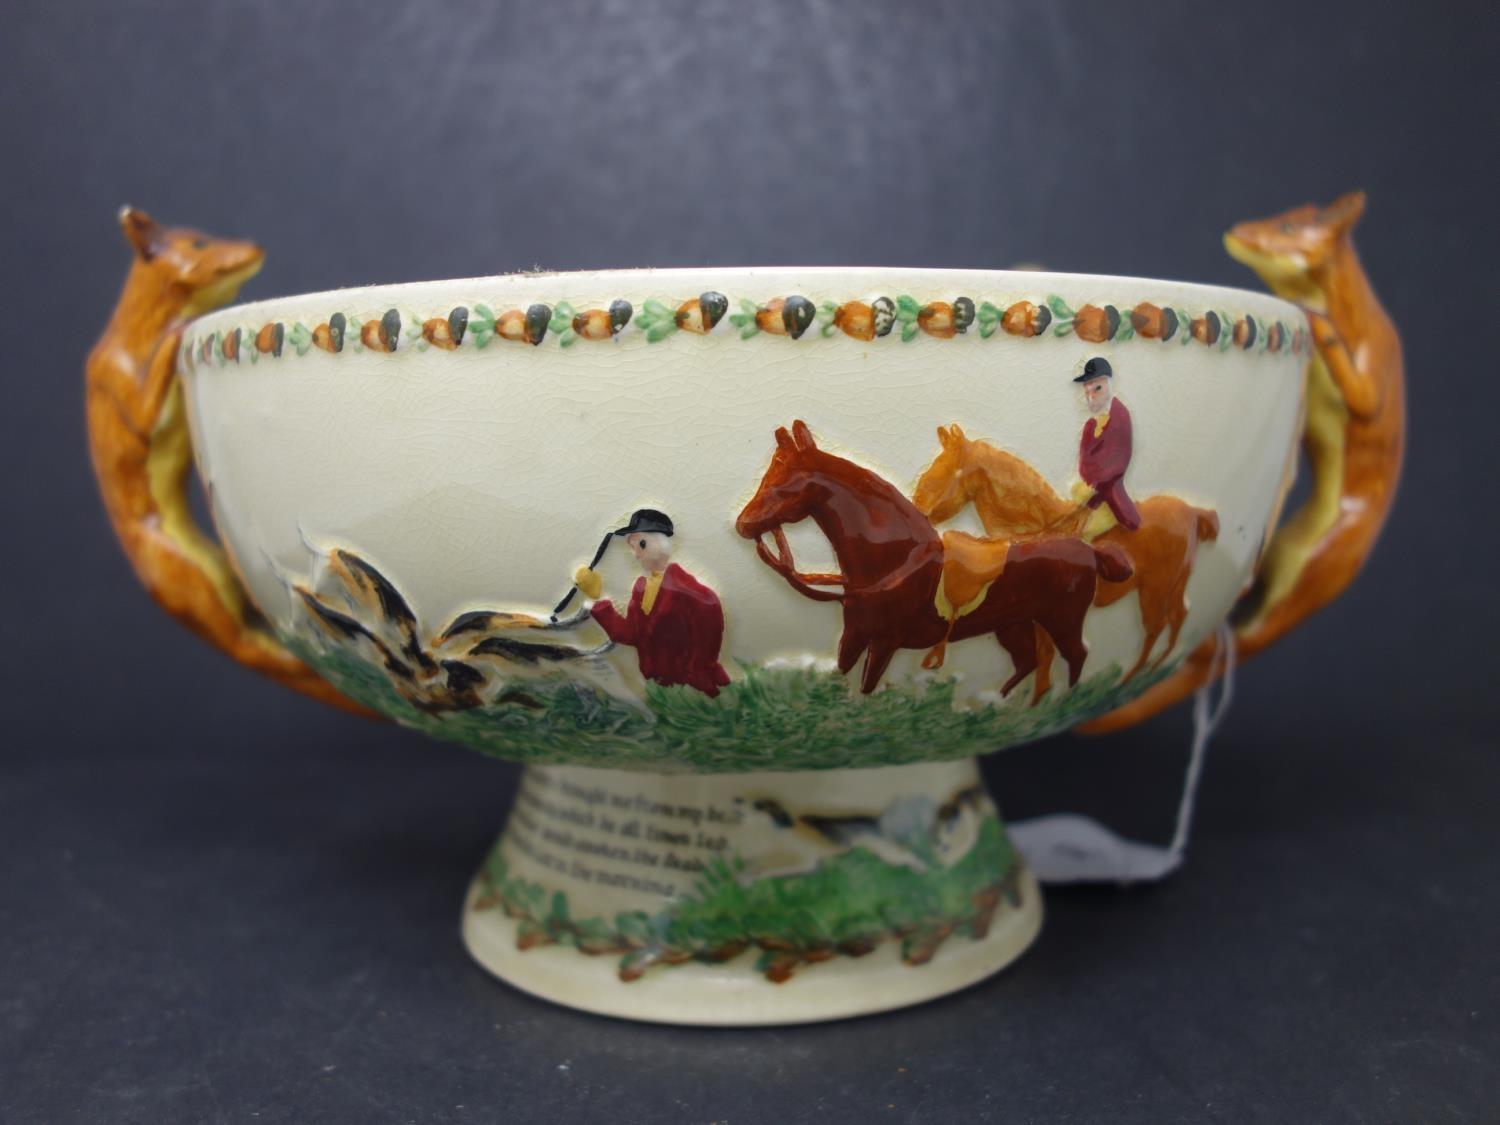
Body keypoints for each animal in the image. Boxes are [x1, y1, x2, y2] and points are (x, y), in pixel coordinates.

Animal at [732, 423, 1128, 702]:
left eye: (782, 485)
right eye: (766, 478)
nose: (743, 525)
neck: (894, 560)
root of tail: (1089, 552)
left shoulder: (885, 642)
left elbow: (866, 687)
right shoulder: (855, 633)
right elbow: (841, 675)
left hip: (1063, 621)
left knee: (1076, 656)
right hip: (1013, 626)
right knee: (1026, 662)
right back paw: (996, 703)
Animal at [912, 429, 1218, 702]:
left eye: (942, 472)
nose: (919, 510)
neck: (1038, 530)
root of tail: (1192, 511)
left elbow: (1045, 653)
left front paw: (1038, 699)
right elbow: (1043, 655)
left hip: (1155, 587)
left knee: (1156, 625)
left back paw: (1133, 675)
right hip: (1177, 582)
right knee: (1179, 614)